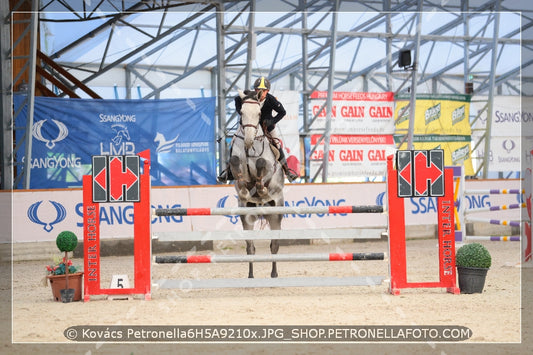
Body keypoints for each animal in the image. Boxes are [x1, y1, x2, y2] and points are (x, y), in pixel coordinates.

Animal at [230, 90, 286, 280]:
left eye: (259, 114)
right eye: (241, 113)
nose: (248, 141)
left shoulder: (267, 167)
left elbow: (262, 164)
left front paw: (261, 188)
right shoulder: (237, 164)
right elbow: (236, 165)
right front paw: (245, 190)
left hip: (276, 212)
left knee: (274, 245)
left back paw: (274, 274)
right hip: (246, 215)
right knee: (250, 247)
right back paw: (250, 276)